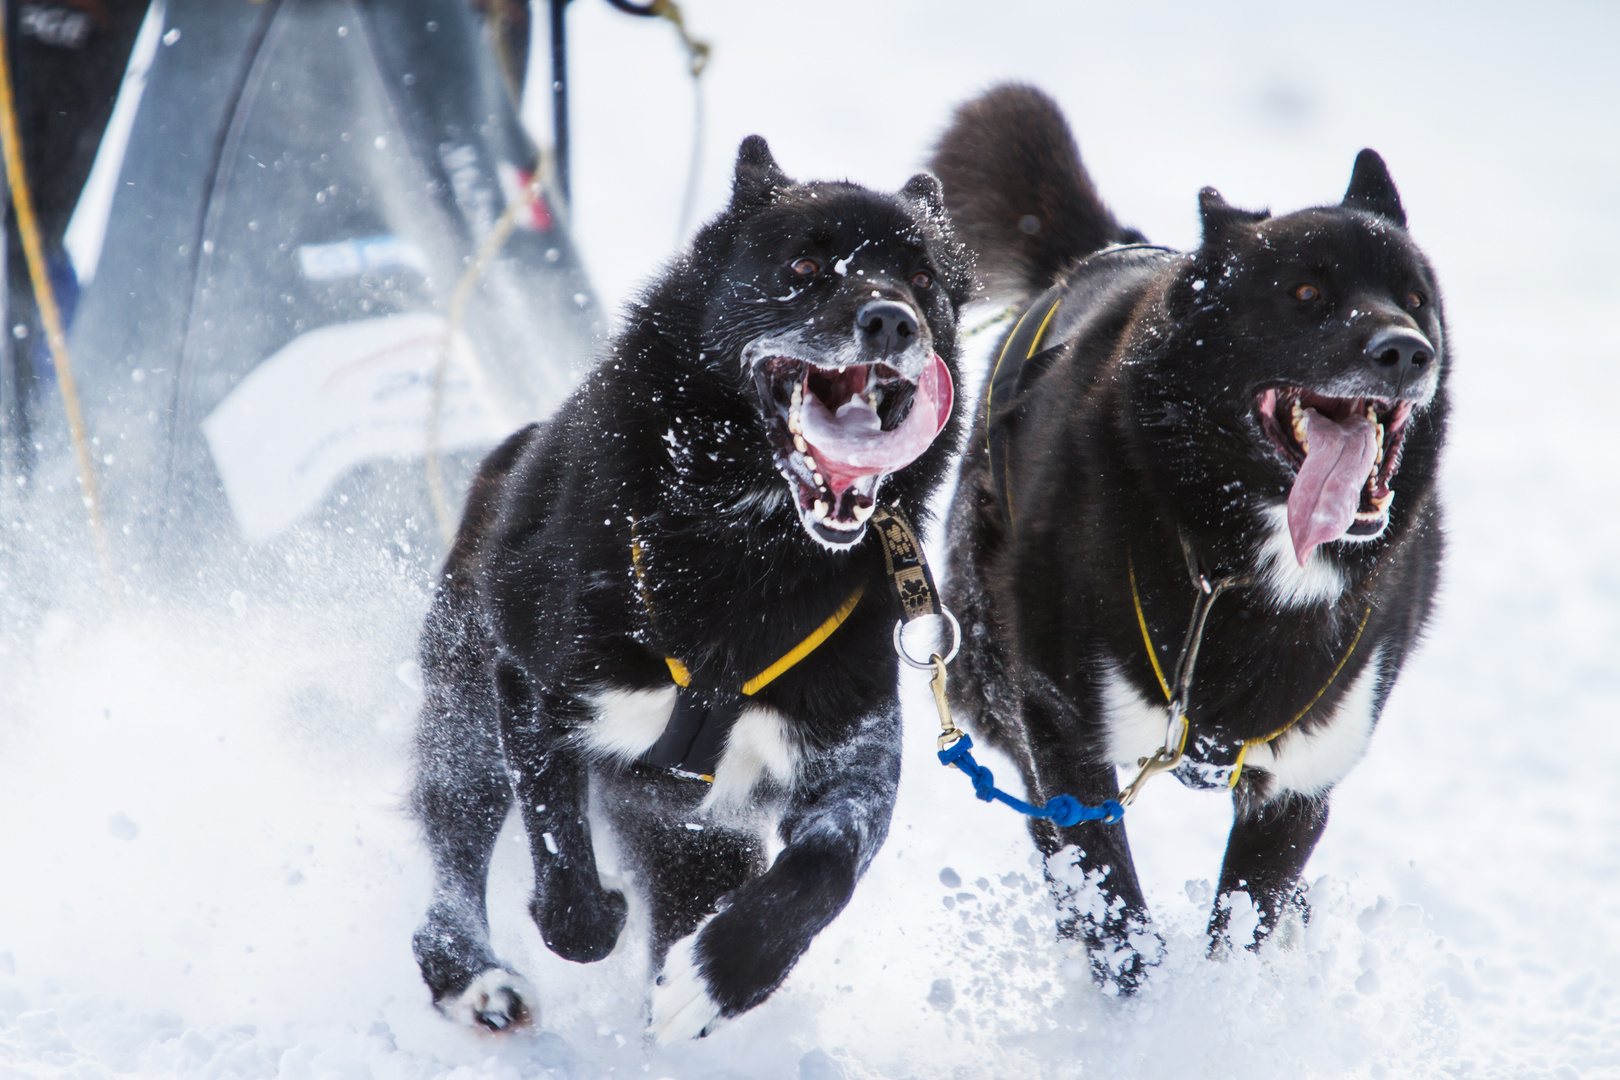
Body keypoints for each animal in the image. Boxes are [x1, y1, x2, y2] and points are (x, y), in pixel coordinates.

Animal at [411, 135, 965, 1036]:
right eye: (806, 263)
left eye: (923, 279)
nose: (892, 320)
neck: (751, 554)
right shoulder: (530, 685)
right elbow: (558, 838)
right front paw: (587, 917)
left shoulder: (851, 762)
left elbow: (824, 870)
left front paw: (718, 979)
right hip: (465, 722)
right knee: (453, 855)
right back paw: (470, 975)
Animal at [933, 88, 1451, 990]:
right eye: (1305, 292)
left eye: (1414, 297)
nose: (1404, 351)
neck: (1239, 573)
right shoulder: (1067, 738)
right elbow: (1109, 903)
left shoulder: (1300, 783)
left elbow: (1246, 918)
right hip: (992, 667)